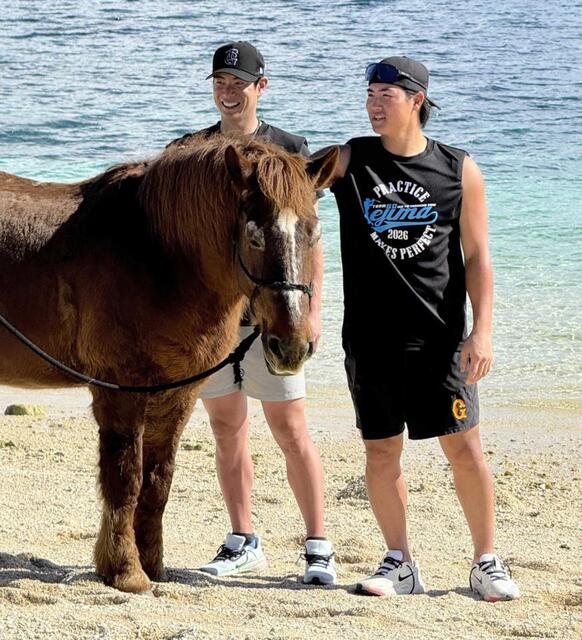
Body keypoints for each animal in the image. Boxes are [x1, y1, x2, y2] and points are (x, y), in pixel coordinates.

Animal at [0, 135, 339, 593]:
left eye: (314, 231)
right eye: (253, 237)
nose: (291, 347)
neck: (156, 256)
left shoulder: (176, 394)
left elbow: (158, 482)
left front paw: (153, 565)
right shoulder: (119, 392)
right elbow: (125, 481)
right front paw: (126, 571)